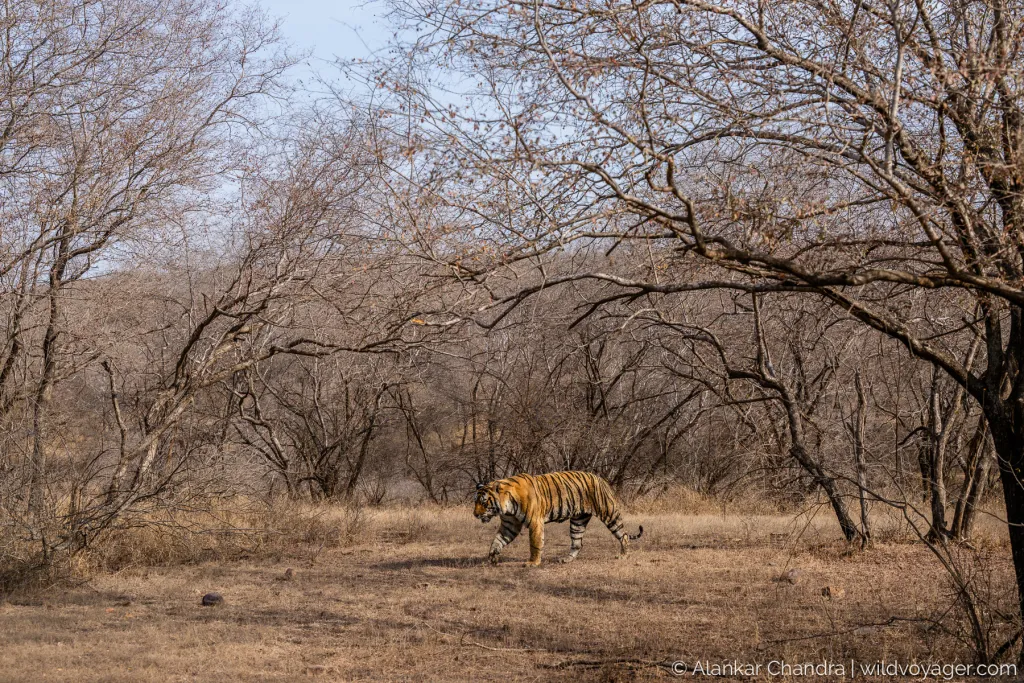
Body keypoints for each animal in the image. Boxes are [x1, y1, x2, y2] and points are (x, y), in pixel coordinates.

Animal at [473, 471, 644, 565]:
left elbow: (535, 544)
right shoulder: (510, 525)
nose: (475, 514)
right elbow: (497, 541)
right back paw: (566, 560)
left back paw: (623, 555)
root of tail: (600, 479)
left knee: (624, 535)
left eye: (484, 502)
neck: (507, 506)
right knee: (577, 543)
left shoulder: (535, 523)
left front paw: (532, 563)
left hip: (609, 513)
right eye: (475, 502)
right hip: (578, 521)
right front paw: (492, 558)